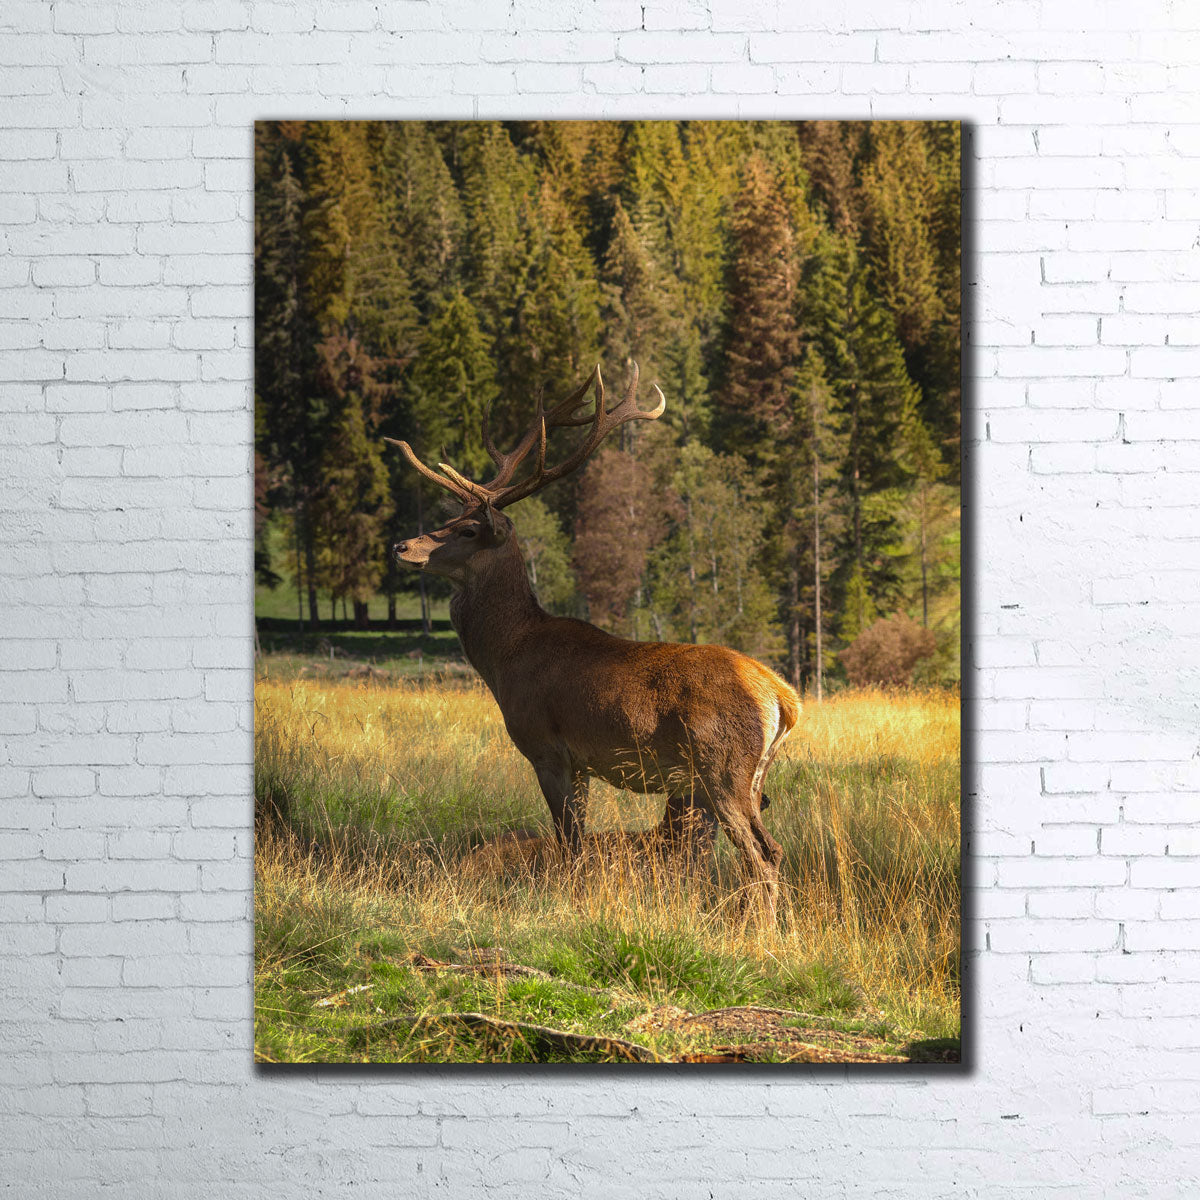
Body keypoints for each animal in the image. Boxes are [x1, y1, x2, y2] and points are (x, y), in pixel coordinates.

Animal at [387, 363, 800, 920]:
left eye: (469, 529)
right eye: (449, 518)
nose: (401, 545)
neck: (506, 658)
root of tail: (781, 696)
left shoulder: (548, 746)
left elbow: (571, 842)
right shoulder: (581, 763)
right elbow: (576, 841)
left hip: (721, 767)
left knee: (761, 853)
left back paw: (763, 932)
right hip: (751, 776)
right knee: (770, 848)